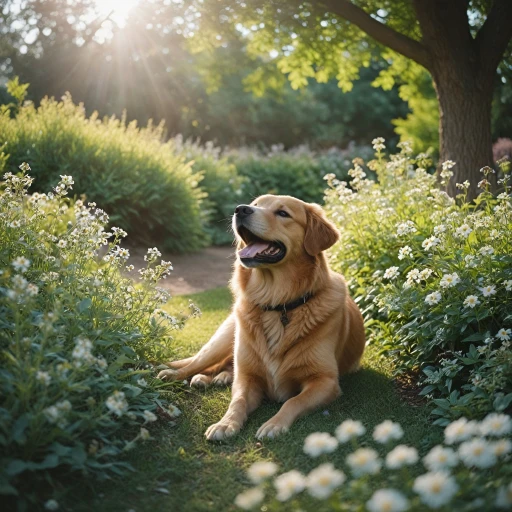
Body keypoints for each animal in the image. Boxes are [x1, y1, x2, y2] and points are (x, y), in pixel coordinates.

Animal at [158, 194, 366, 438]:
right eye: (255, 205)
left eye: (283, 213)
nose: (240, 209)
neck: (279, 304)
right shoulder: (247, 377)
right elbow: (237, 401)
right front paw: (225, 423)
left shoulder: (326, 381)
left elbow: (294, 401)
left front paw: (274, 424)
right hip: (224, 339)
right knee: (196, 363)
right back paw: (176, 374)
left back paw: (217, 377)